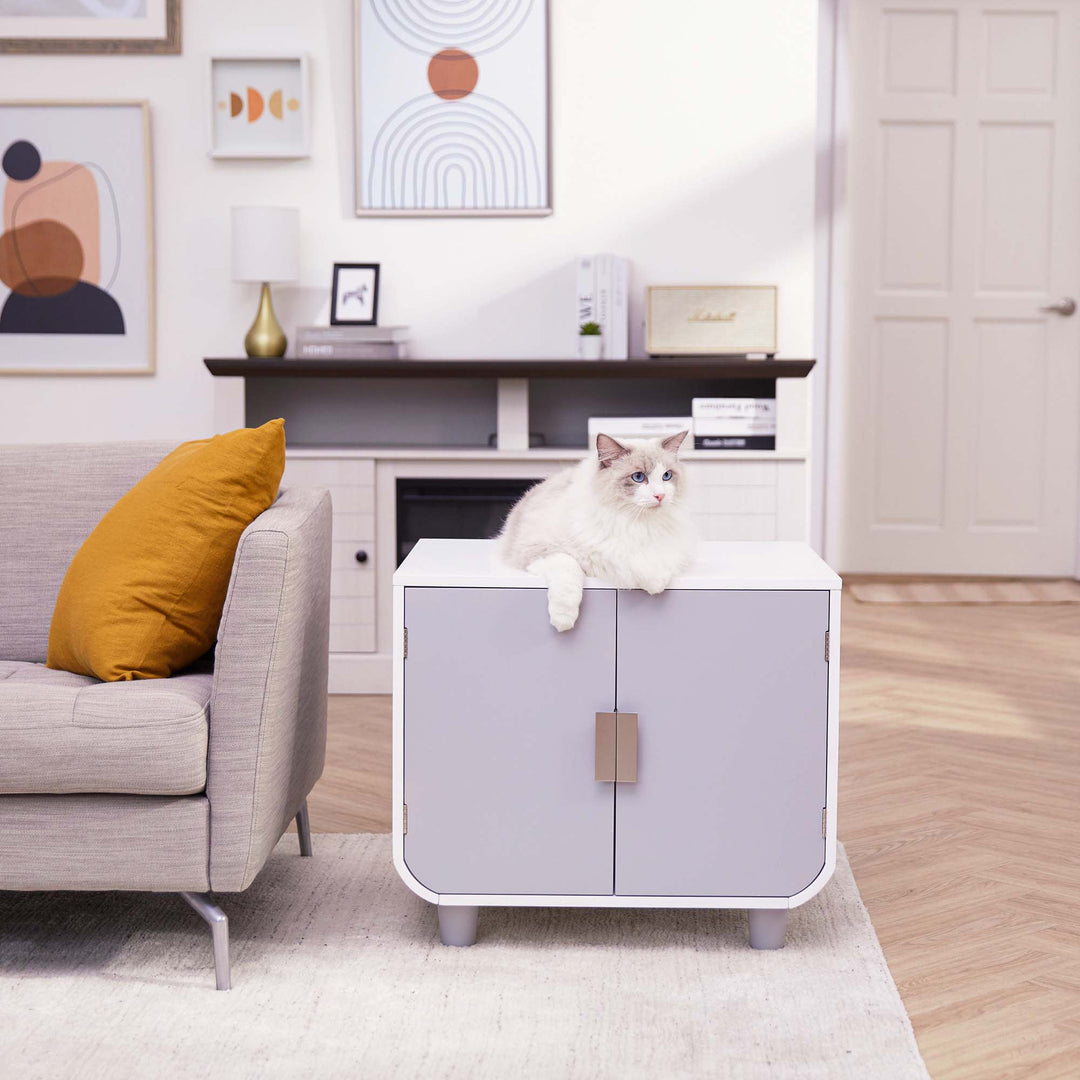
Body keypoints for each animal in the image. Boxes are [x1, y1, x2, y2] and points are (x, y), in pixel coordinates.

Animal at [494, 429, 691, 630]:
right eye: (638, 477)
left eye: (666, 476)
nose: (660, 496)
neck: (633, 522)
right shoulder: (538, 549)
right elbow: (569, 569)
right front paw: (563, 620)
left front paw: (656, 583)